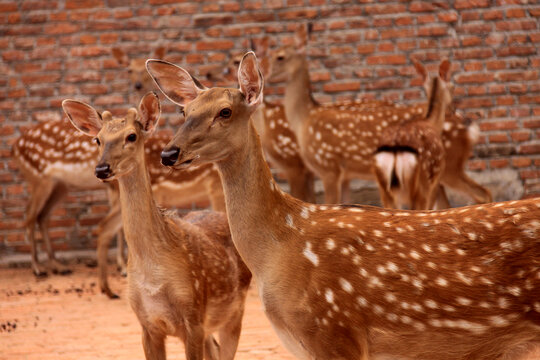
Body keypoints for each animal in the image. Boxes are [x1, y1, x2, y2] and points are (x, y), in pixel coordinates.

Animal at [12, 116, 224, 300]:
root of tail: (15, 146)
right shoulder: (214, 186)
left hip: (60, 185)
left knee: (44, 216)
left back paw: (62, 267)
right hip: (40, 178)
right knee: (31, 215)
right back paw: (40, 269)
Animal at [62, 93, 252, 360]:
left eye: (131, 136)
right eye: (98, 139)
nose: (102, 169)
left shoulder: (193, 315)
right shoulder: (146, 324)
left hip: (234, 313)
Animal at [372, 59, 452, 211]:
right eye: (452, 86)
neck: (432, 122)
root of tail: (395, 149)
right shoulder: (437, 180)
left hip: (383, 188)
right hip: (421, 185)